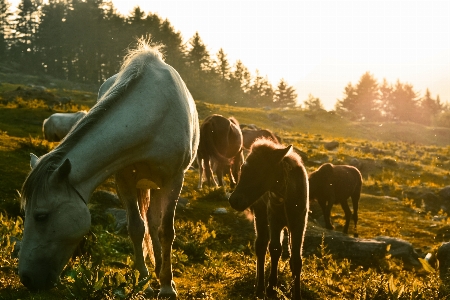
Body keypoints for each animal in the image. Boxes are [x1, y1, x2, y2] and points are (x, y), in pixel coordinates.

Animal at [18, 40, 199, 300]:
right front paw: (143, 281)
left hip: (159, 184)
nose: (27, 279)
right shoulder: (123, 179)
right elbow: (137, 227)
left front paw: (166, 286)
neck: (152, 115)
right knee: (150, 223)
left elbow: (166, 231)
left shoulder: (174, 179)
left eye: (41, 216)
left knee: (157, 225)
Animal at [229, 139, 310, 298]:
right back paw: (260, 288)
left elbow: (296, 259)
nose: (234, 200)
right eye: (243, 168)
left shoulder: (299, 223)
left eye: (261, 170)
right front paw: (271, 287)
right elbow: (275, 249)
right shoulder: (274, 220)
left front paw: (296, 294)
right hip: (261, 214)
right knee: (261, 245)